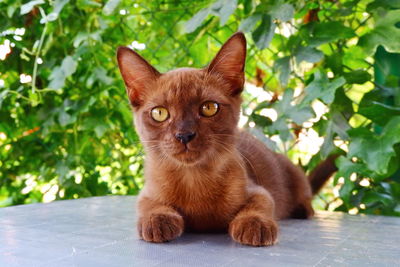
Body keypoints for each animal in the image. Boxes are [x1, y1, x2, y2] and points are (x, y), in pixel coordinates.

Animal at [117, 33, 336, 247]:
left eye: (209, 108)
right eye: (160, 113)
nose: (184, 135)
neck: (193, 180)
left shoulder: (258, 191)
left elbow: (258, 206)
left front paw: (255, 225)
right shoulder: (147, 193)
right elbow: (150, 206)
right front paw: (157, 221)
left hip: (293, 172)